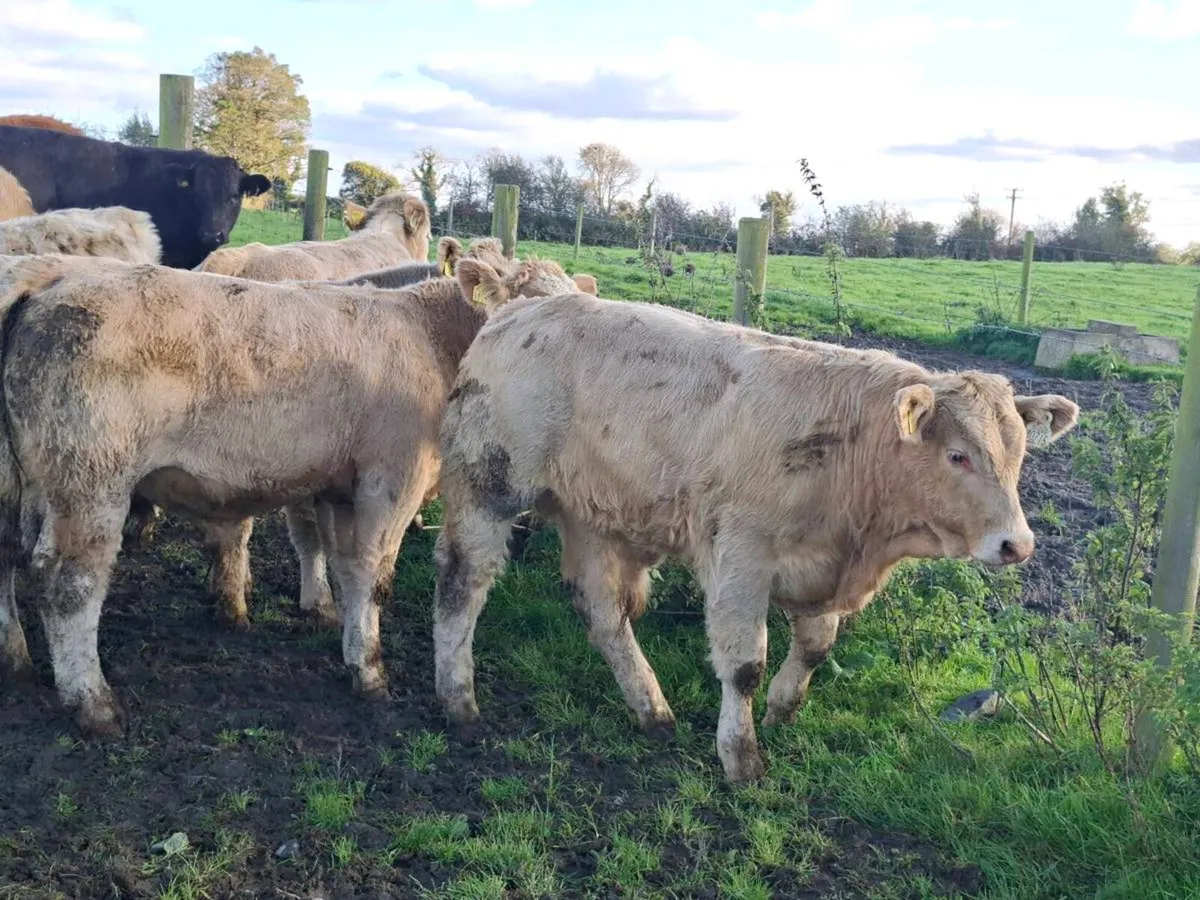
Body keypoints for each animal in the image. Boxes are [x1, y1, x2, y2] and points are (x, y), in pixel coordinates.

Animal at [0, 251, 584, 737]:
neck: (429, 338)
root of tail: (48, 283)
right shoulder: (393, 480)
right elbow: (373, 575)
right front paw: (370, 672)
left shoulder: (339, 489)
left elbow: (345, 567)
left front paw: (346, 640)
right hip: (90, 484)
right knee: (68, 584)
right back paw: (93, 703)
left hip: (19, 484)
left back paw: (15, 657)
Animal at [429, 291, 1080, 783]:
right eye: (957, 455)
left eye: (1020, 454)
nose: (1017, 545)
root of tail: (520, 309)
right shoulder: (741, 556)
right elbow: (744, 665)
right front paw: (741, 759)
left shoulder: (821, 568)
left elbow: (815, 646)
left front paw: (781, 712)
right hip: (489, 485)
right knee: (462, 582)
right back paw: (458, 699)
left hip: (593, 516)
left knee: (603, 612)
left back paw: (651, 709)